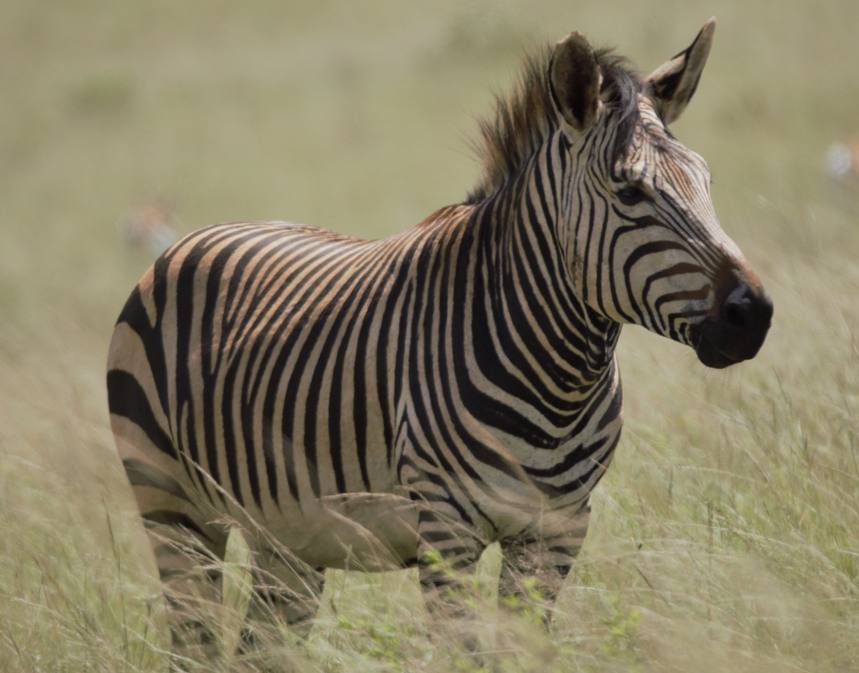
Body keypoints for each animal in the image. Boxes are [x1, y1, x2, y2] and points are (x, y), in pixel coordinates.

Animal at [107, 18, 772, 655]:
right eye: (629, 191)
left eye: (706, 181)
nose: (755, 314)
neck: (558, 380)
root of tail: (197, 234)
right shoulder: (447, 531)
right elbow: (463, 652)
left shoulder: (556, 530)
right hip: (173, 509)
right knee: (193, 640)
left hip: (289, 536)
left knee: (257, 647)